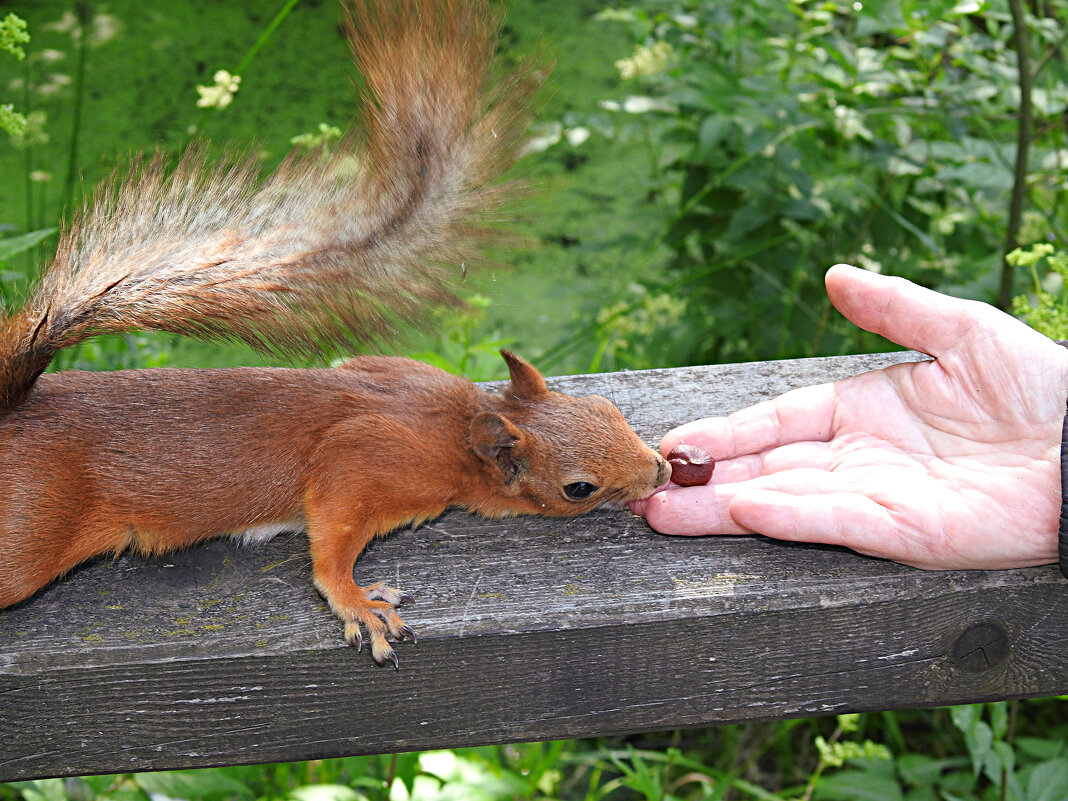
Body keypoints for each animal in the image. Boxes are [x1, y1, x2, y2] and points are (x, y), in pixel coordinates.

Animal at [0, 0, 666, 666]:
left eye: (606, 408)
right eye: (579, 488)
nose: (659, 470)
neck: (455, 429)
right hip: (29, 532)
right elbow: (333, 535)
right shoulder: (368, 460)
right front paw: (356, 601)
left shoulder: (387, 367)